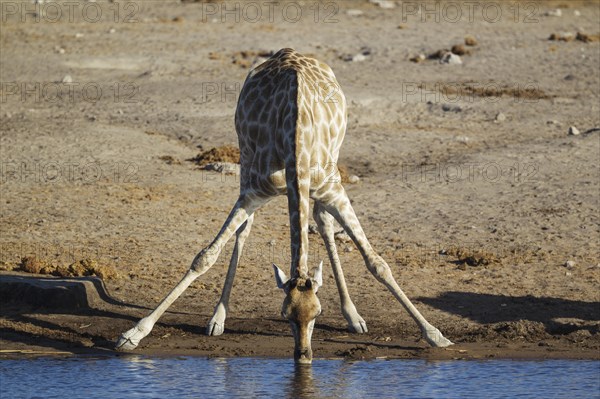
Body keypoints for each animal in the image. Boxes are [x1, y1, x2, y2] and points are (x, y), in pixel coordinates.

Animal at [115, 48, 452, 364]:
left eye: (318, 313)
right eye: (285, 315)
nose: (303, 355)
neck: (297, 145)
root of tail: (288, 51)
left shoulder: (335, 191)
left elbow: (377, 263)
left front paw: (435, 335)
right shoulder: (254, 192)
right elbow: (205, 257)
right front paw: (134, 333)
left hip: (332, 164)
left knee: (323, 222)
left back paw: (353, 316)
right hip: (246, 160)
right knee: (245, 230)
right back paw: (217, 318)